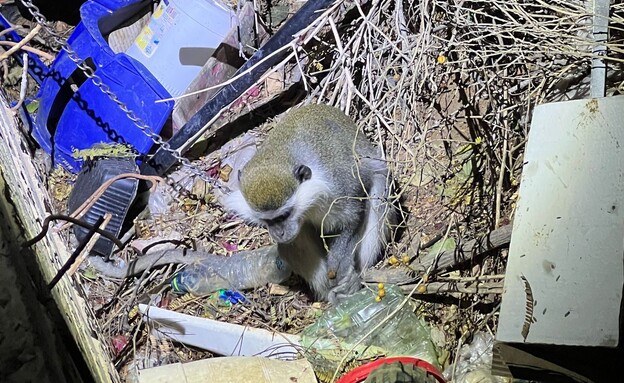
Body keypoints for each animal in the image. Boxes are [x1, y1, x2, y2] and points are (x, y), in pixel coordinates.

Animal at [221, 104, 394, 304]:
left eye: (284, 215)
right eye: (267, 221)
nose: (278, 233)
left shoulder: (340, 185)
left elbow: (351, 219)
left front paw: (339, 269)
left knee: (378, 190)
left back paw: (355, 280)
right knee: (296, 240)